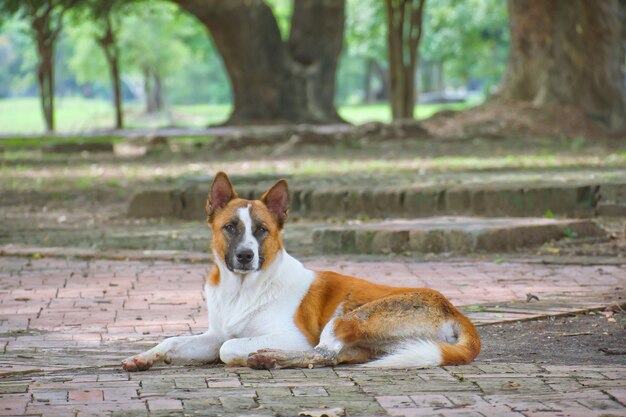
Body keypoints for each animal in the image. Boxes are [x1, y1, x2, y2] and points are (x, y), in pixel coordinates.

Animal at [123, 172, 482, 370]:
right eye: (230, 227)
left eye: (262, 230)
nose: (245, 256)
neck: (243, 288)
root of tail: (452, 309)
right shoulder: (215, 334)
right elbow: (174, 339)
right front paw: (145, 357)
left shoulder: (290, 336)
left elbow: (229, 349)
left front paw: (251, 354)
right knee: (334, 356)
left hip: (348, 318)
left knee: (322, 353)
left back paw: (269, 358)